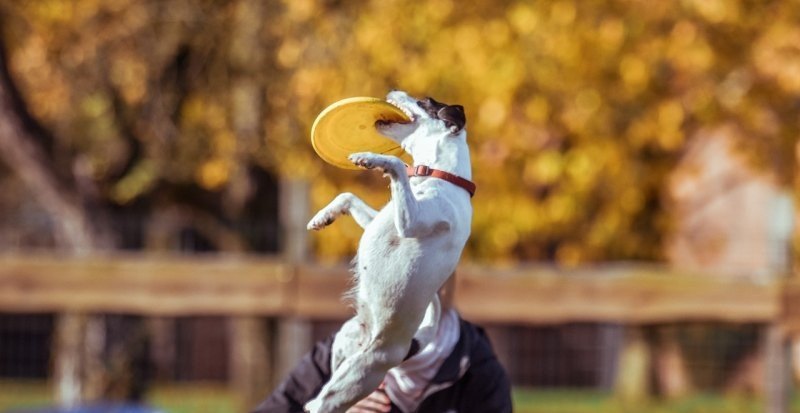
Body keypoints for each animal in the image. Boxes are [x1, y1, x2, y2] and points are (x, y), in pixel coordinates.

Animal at [304, 91, 472, 412]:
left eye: (425, 100)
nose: (393, 91)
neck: (436, 176)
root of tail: (409, 348)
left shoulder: (411, 221)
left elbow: (394, 162)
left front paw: (371, 158)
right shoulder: (380, 218)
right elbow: (348, 196)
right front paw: (323, 216)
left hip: (354, 379)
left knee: (321, 403)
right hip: (343, 345)